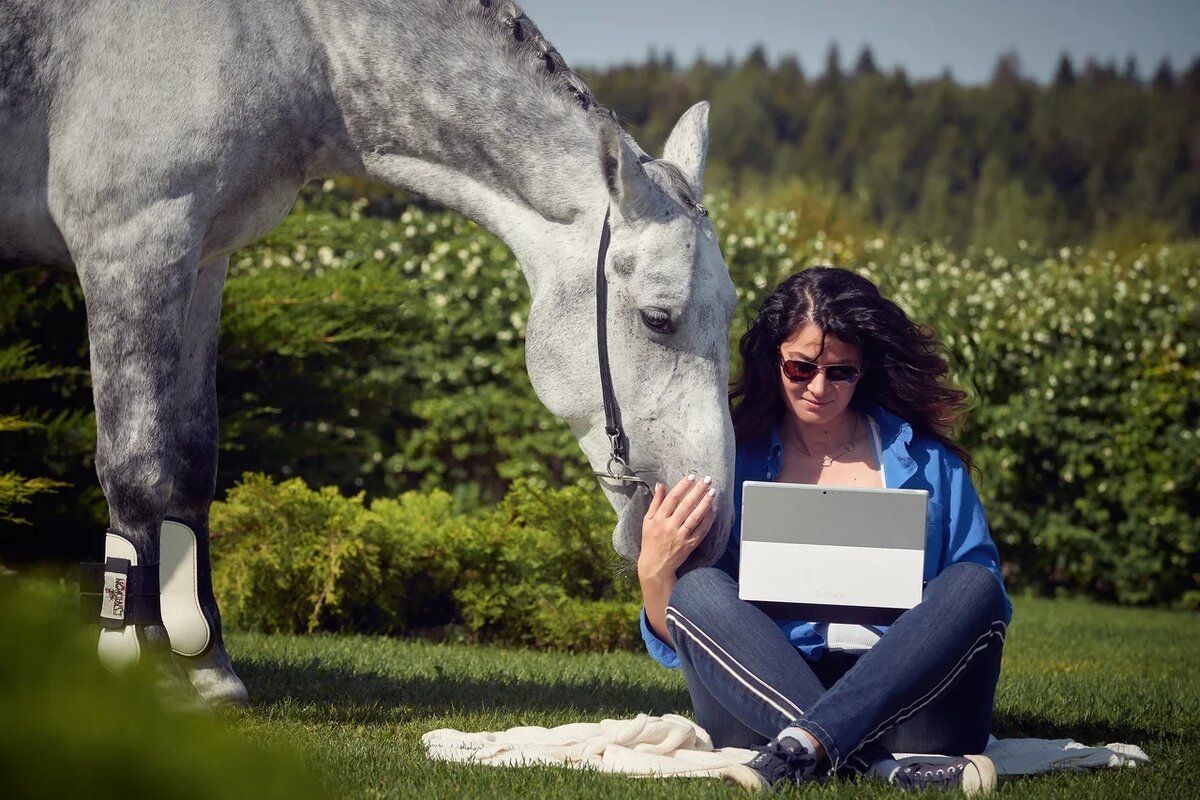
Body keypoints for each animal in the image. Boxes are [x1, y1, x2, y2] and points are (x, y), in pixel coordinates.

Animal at [0, 0, 734, 700]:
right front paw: (150, 676)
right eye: (659, 319)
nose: (709, 531)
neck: (295, 36)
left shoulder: (204, 259)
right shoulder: (133, 245)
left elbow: (191, 462)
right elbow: (139, 468)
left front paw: (207, 668)